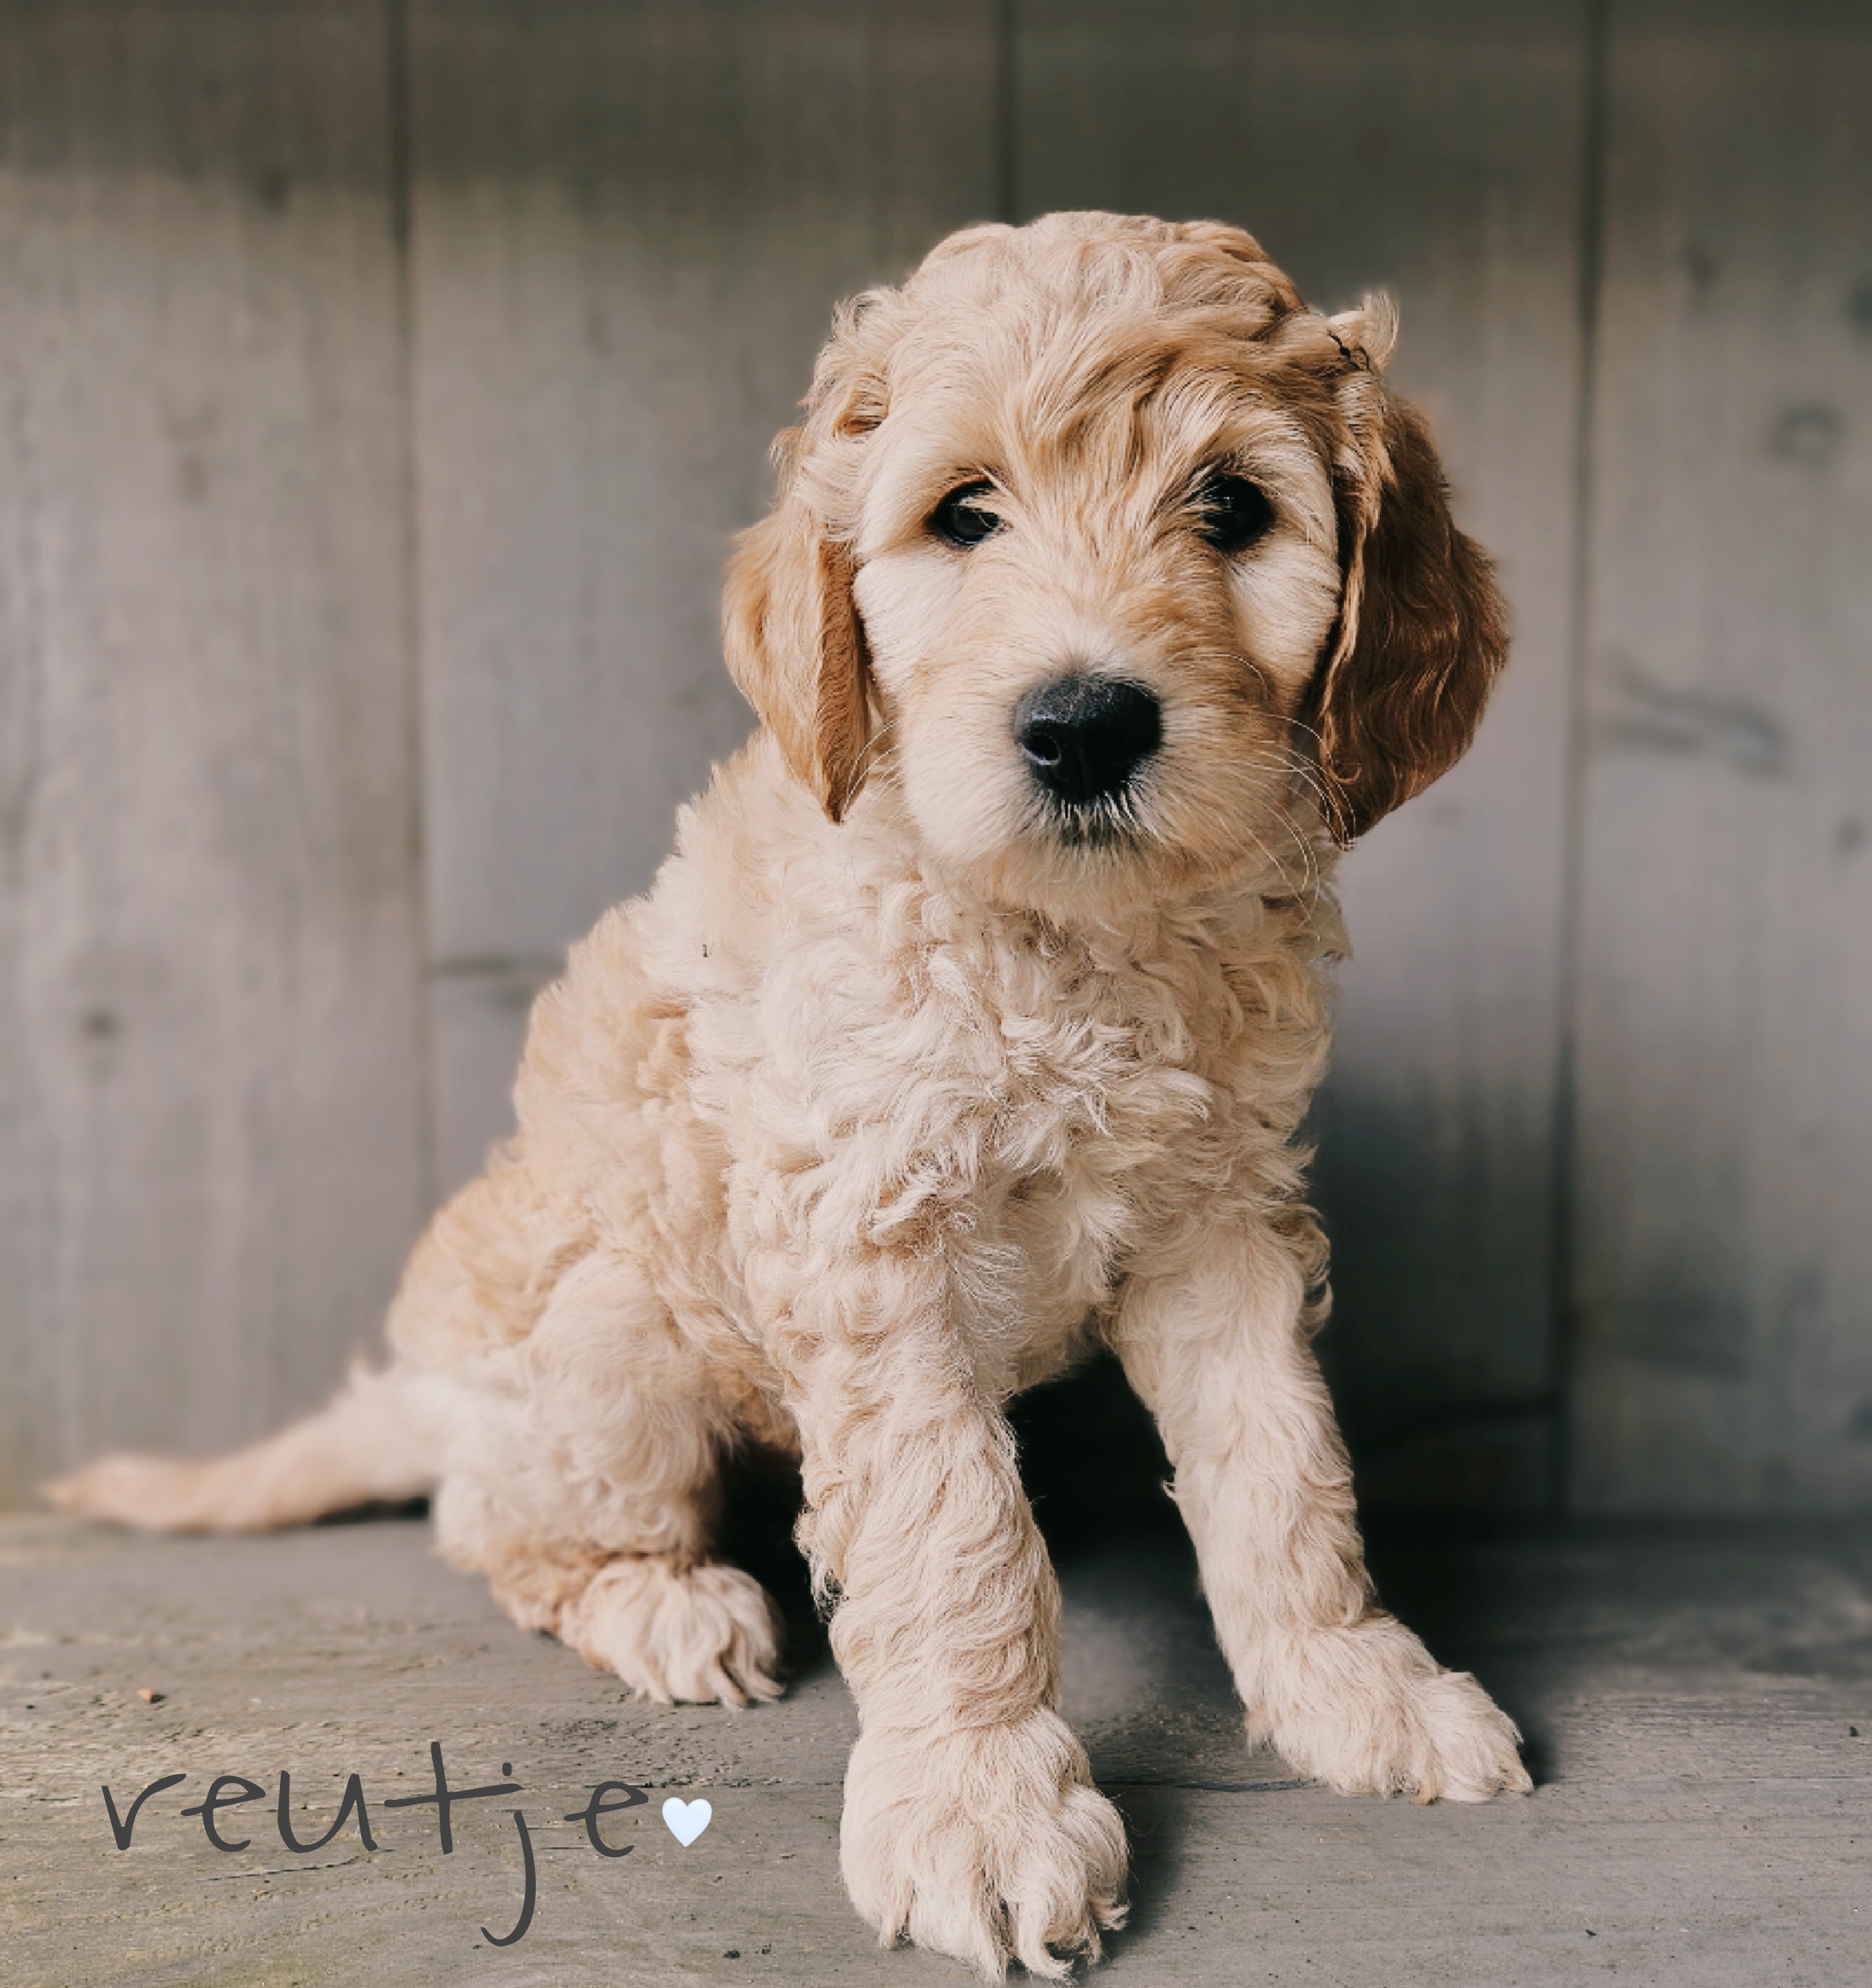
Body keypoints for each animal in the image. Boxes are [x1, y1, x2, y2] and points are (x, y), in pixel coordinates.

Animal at [51, 209, 1534, 1980]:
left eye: (1235, 508)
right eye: (963, 513)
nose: (1082, 723)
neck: (1061, 942)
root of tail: (418, 1386)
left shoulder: (1218, 1212)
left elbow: (1280, 1469)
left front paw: (1352, 1684)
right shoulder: (867, 1232)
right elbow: (952, 1529)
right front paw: (978, 1799)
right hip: (606, 1348)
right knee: (495, 1524)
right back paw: (663, 1601)